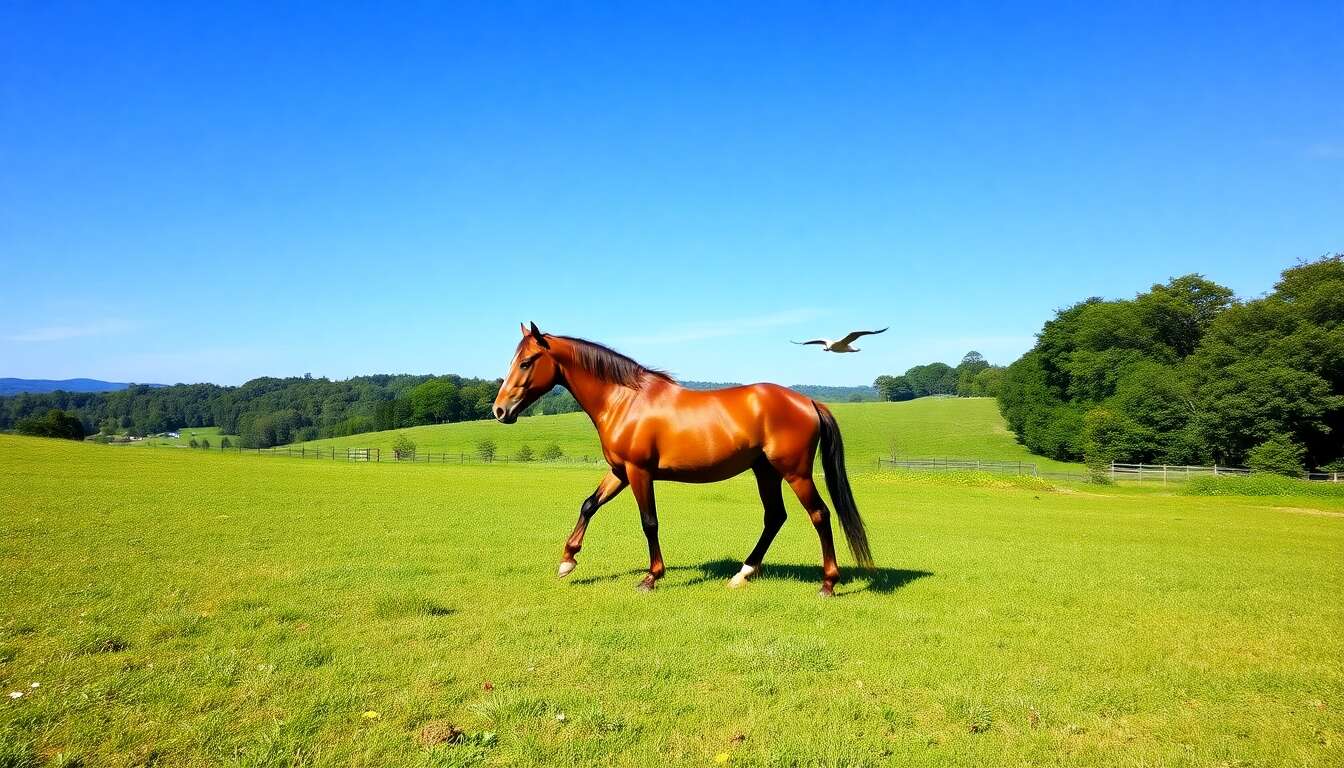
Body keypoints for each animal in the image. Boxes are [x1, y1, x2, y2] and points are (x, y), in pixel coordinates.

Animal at [492, 323, 874, 596]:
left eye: (526, 362)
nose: (499, 410)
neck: (625, 400)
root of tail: (808, 401)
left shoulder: (639, 472)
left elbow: (649, 522)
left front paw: (651, 578)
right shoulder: (619, 471)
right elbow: (588, 505)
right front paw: (567, 561)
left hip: (795, 473)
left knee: (819, 515)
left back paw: (828, 584)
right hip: (765, 471)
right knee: (774, 517)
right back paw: (743, 574)